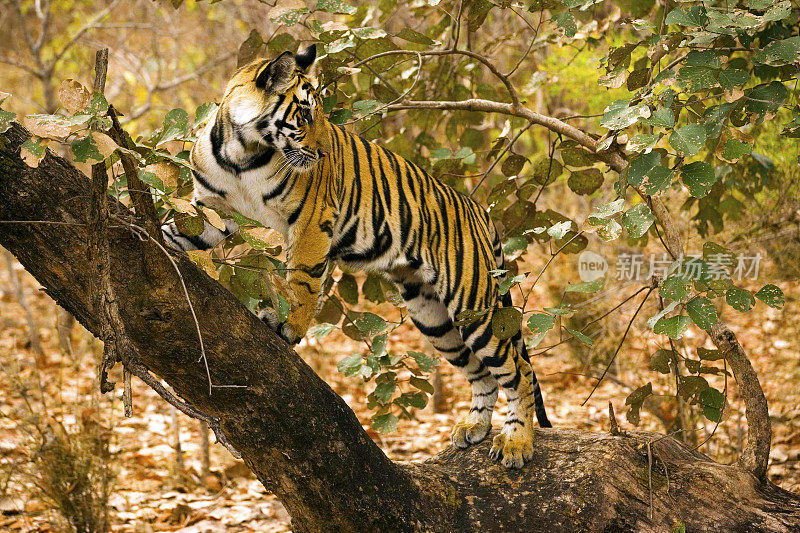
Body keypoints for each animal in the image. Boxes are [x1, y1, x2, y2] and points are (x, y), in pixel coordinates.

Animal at [162, 43, 552, 466]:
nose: (321, 152)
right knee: (482, 374)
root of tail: (479, 210)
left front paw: (289, 326)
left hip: (472, 305)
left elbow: (302, 280)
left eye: (317, 115)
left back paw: (517, 443)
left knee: (519, 371)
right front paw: (148, 230)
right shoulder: (215, 210)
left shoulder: (311, 218)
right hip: (434, 319)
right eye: (304, 115)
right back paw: (475, 428)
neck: (241, 151)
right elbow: (178, 228)